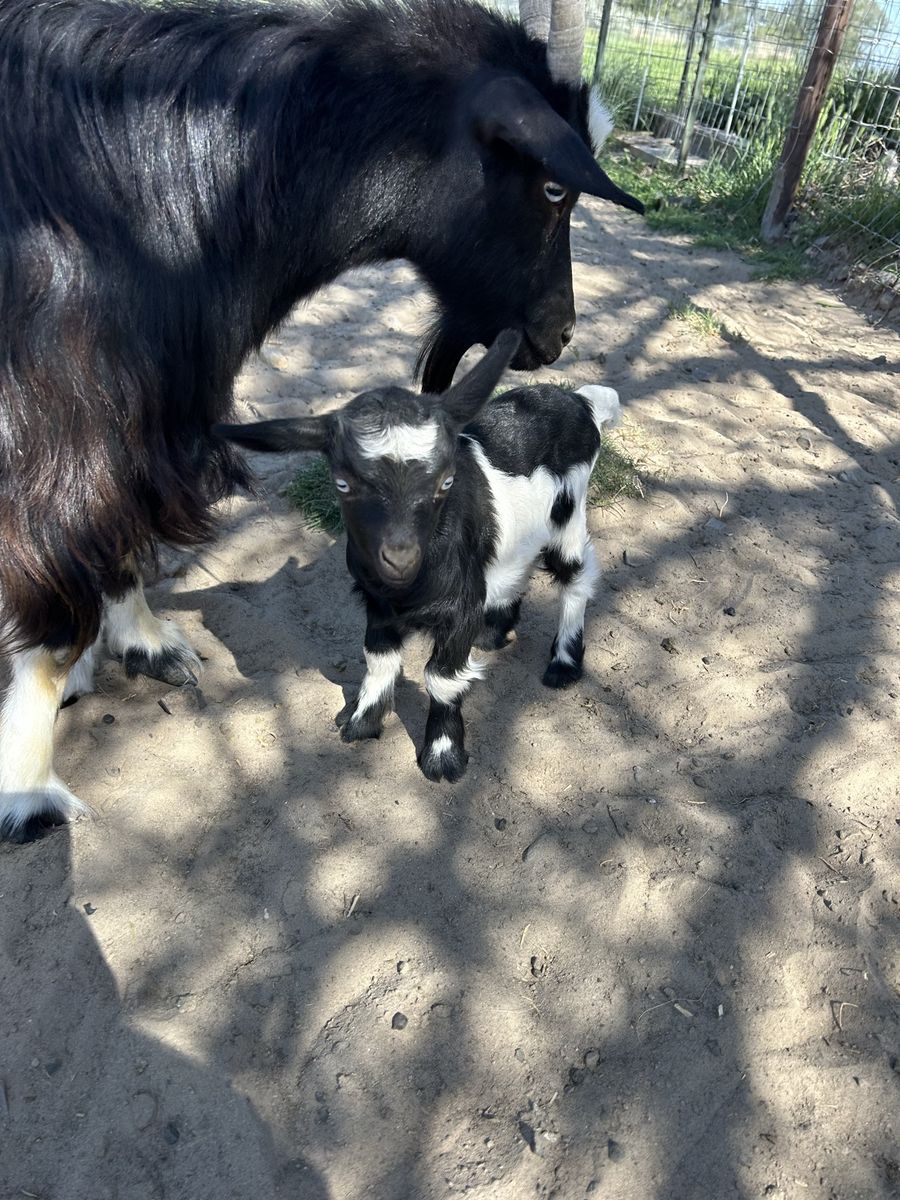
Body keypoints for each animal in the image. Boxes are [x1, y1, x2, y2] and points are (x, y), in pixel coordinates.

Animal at [217, 330, 620, 783]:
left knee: (575, 578)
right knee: (515, 566)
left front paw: (442, 757)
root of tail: (580, 400)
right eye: (342, 483)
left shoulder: (459, 606)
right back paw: (494, 632)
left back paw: (564, 663)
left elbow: (442, 677)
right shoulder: (377, 601)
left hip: (568, 514)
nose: (399, 558)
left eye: (446, 480)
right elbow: (378, 659)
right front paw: (361, 721)